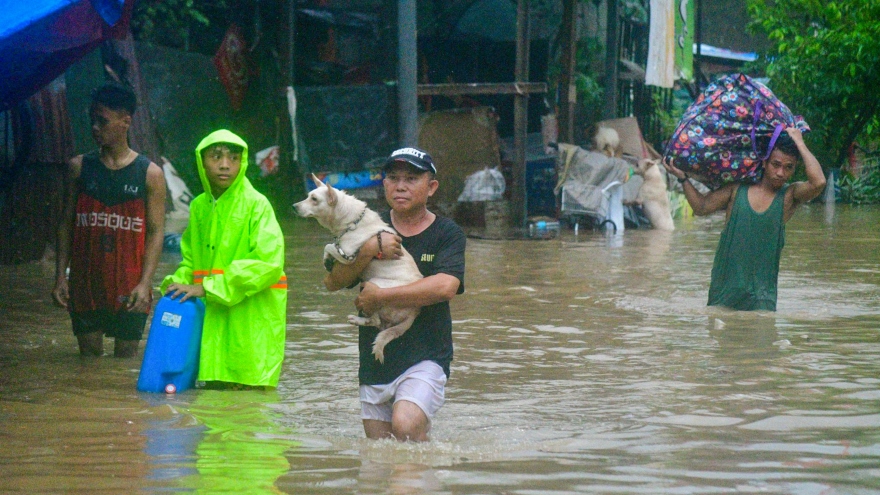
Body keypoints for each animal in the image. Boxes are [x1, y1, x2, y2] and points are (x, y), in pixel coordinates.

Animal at [292, 176, 422, 362]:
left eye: (314, 199)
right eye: (308, 196)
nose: (293, 206)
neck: (352, 222)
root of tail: (414, 311)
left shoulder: (348, 255)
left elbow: (329, 245)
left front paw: (327, 259)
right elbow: (330, 246)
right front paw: (328, 261)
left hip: (375, 285)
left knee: (375, 321)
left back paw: (356, 319)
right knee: (377, 323)